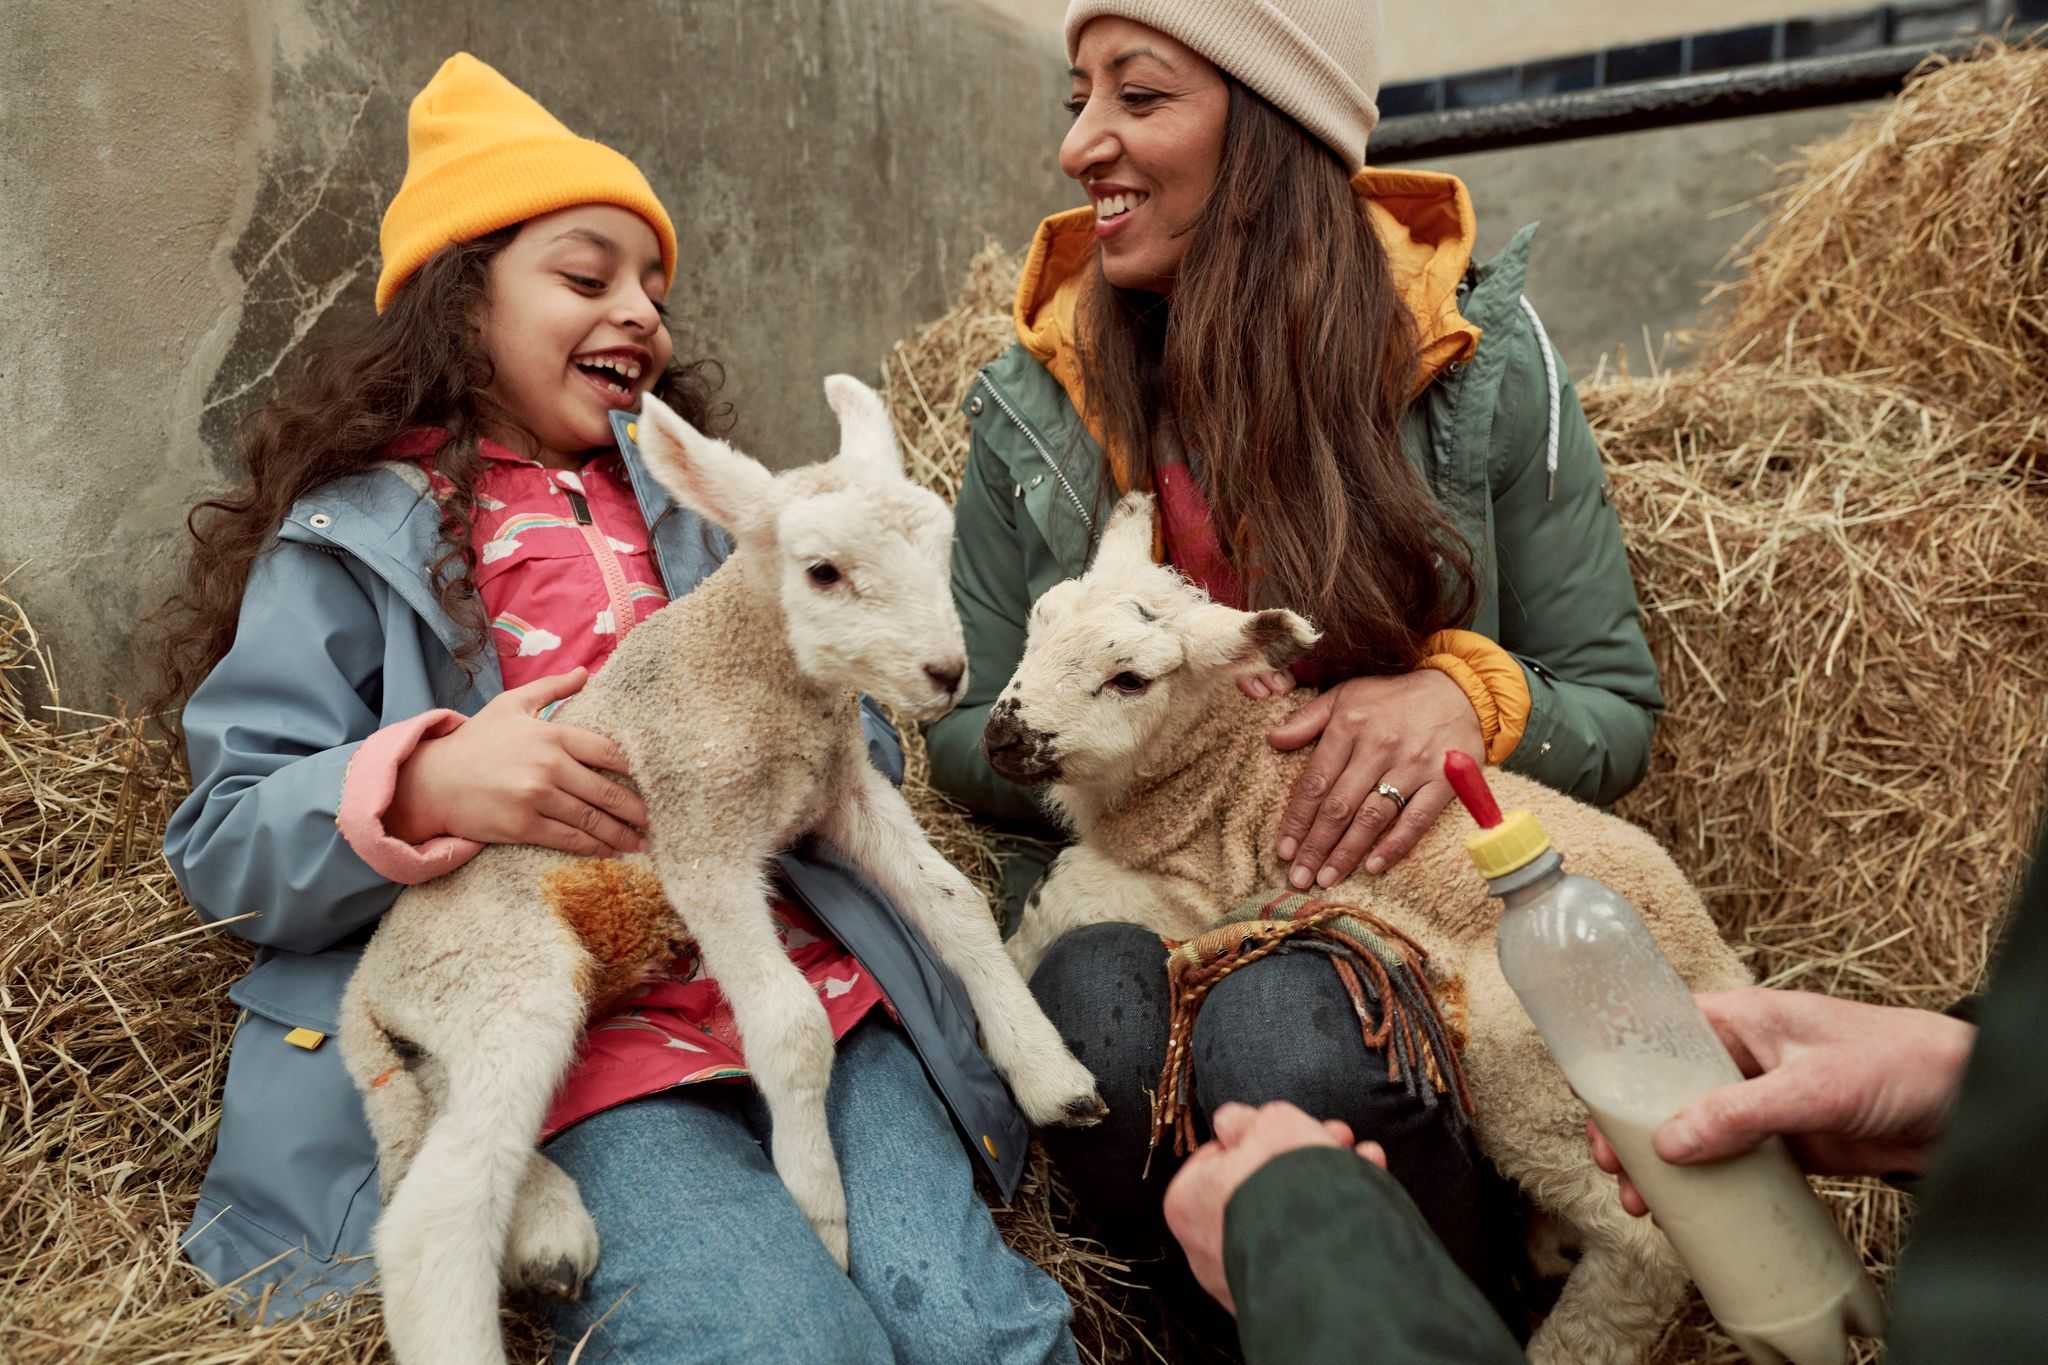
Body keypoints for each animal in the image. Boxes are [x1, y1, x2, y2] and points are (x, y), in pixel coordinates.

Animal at [983, 493, 1753, 1365]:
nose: (1003, 734)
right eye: (1039, 621)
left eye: (1129, 679)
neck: (1218, 762)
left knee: (1648, 1244)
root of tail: (1722, 975)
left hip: (1536, 1073)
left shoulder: (1196, 892)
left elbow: (1063, 893)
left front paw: (1006, 987)